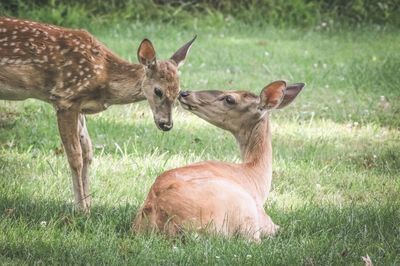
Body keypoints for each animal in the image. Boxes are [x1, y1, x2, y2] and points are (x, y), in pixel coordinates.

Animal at [0, 16, 195, 212]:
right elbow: (75, 155)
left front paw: (89, 204)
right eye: (158, 91)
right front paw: (81, 209)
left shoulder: (79, 105)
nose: (167, 124)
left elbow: (88, 152)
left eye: (178, 92)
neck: (104, 76)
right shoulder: (65, 99)